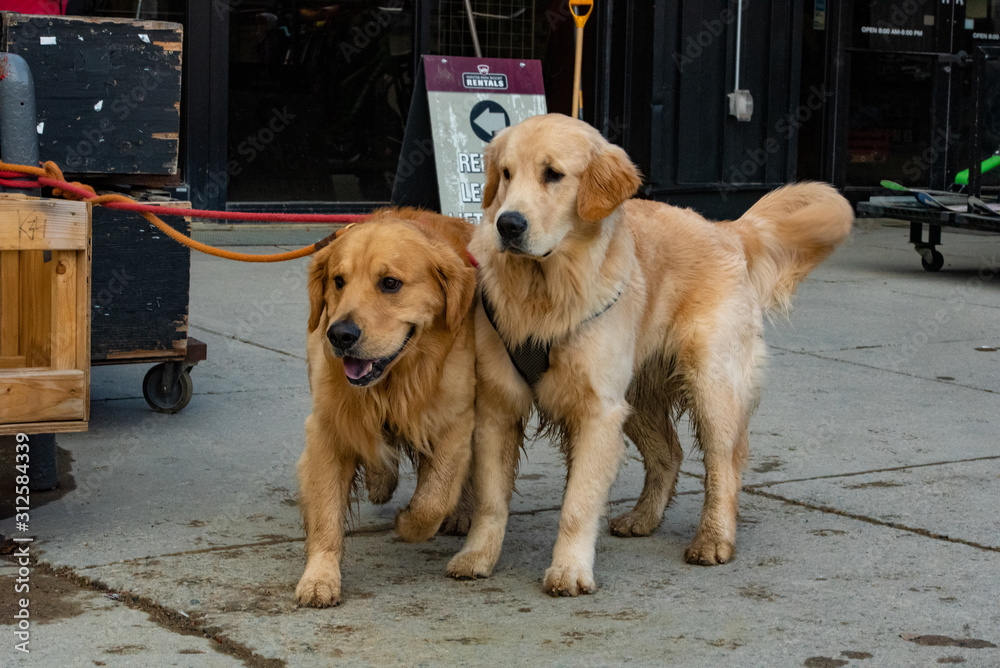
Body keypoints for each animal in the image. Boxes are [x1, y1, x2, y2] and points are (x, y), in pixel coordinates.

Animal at [294, 207, 478, 604]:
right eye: (338, 280)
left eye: (390, 283)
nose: (340, 334)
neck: (394, 382)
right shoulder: (327, 426)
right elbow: (326, 512)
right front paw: (319, 576)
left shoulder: (455, 419)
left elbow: (433, 500)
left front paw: (408, 522)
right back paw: (380, 482)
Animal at [450, 113, 856, 596]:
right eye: (506, 174)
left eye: (553, 174)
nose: (508, 224)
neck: (546, 291)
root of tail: (725, 228)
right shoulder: (498, 407)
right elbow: (492, 500)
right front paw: (476, 556)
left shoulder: (599, 410)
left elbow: (578, 504)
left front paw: (569, 570)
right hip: (639, 395)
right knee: (670, 453)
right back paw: (644, 517)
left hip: (711, 384)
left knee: (725, 464)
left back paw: (713, 539)